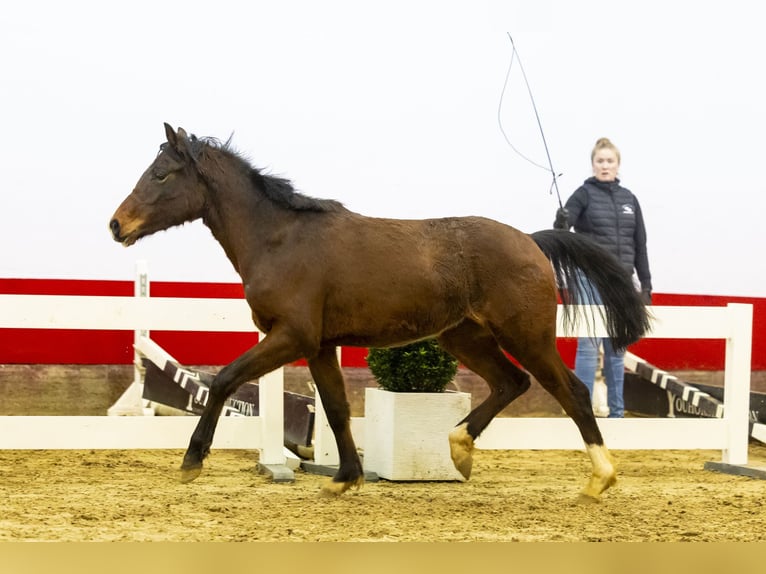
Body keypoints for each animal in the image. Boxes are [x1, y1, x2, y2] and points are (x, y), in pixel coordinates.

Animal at [109, 124, 648, 502]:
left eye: (161, 174)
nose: (117, 225)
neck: (279, 238)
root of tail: (532, 242)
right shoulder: (320, 345)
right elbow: (336, 408)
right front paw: (345, 479)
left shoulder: (291, 336)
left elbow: (223, 379)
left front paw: (191, 462)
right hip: (464, 336)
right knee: (510, 383)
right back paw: (459, 449)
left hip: (526, 336)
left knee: (571, 391)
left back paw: (599, 480)